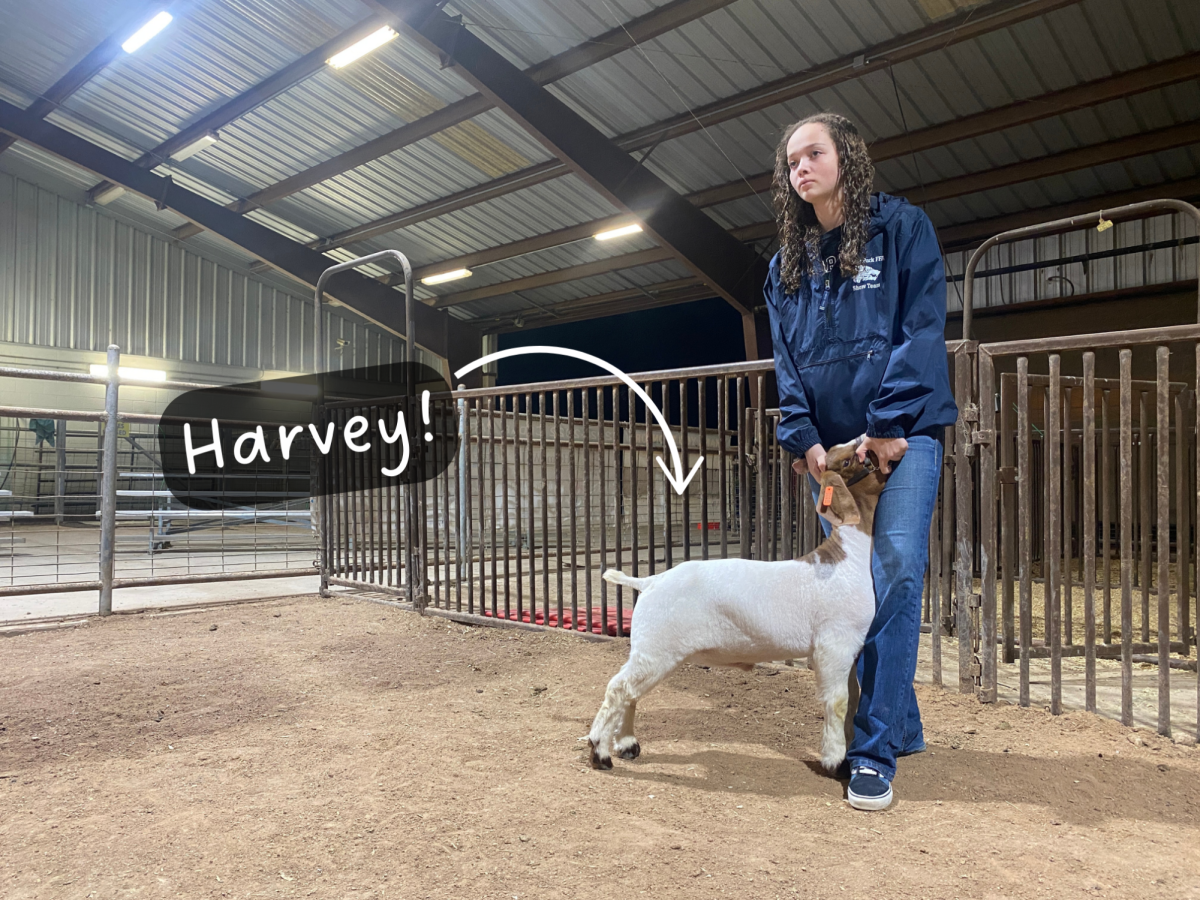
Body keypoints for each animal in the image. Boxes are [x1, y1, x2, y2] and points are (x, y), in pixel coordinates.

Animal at [585, 439, 888, 777]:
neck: (848, 558)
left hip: (652, 649)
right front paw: (835, 760)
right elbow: (838, 702)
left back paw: (626, 744)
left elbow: (854, 701)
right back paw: (599, 751)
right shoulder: (833, 644)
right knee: (618, 688)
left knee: (630, 691)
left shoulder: (851, 648)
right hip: (656, 647)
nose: (871, 446)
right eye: (848, 460)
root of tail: (650, 581)